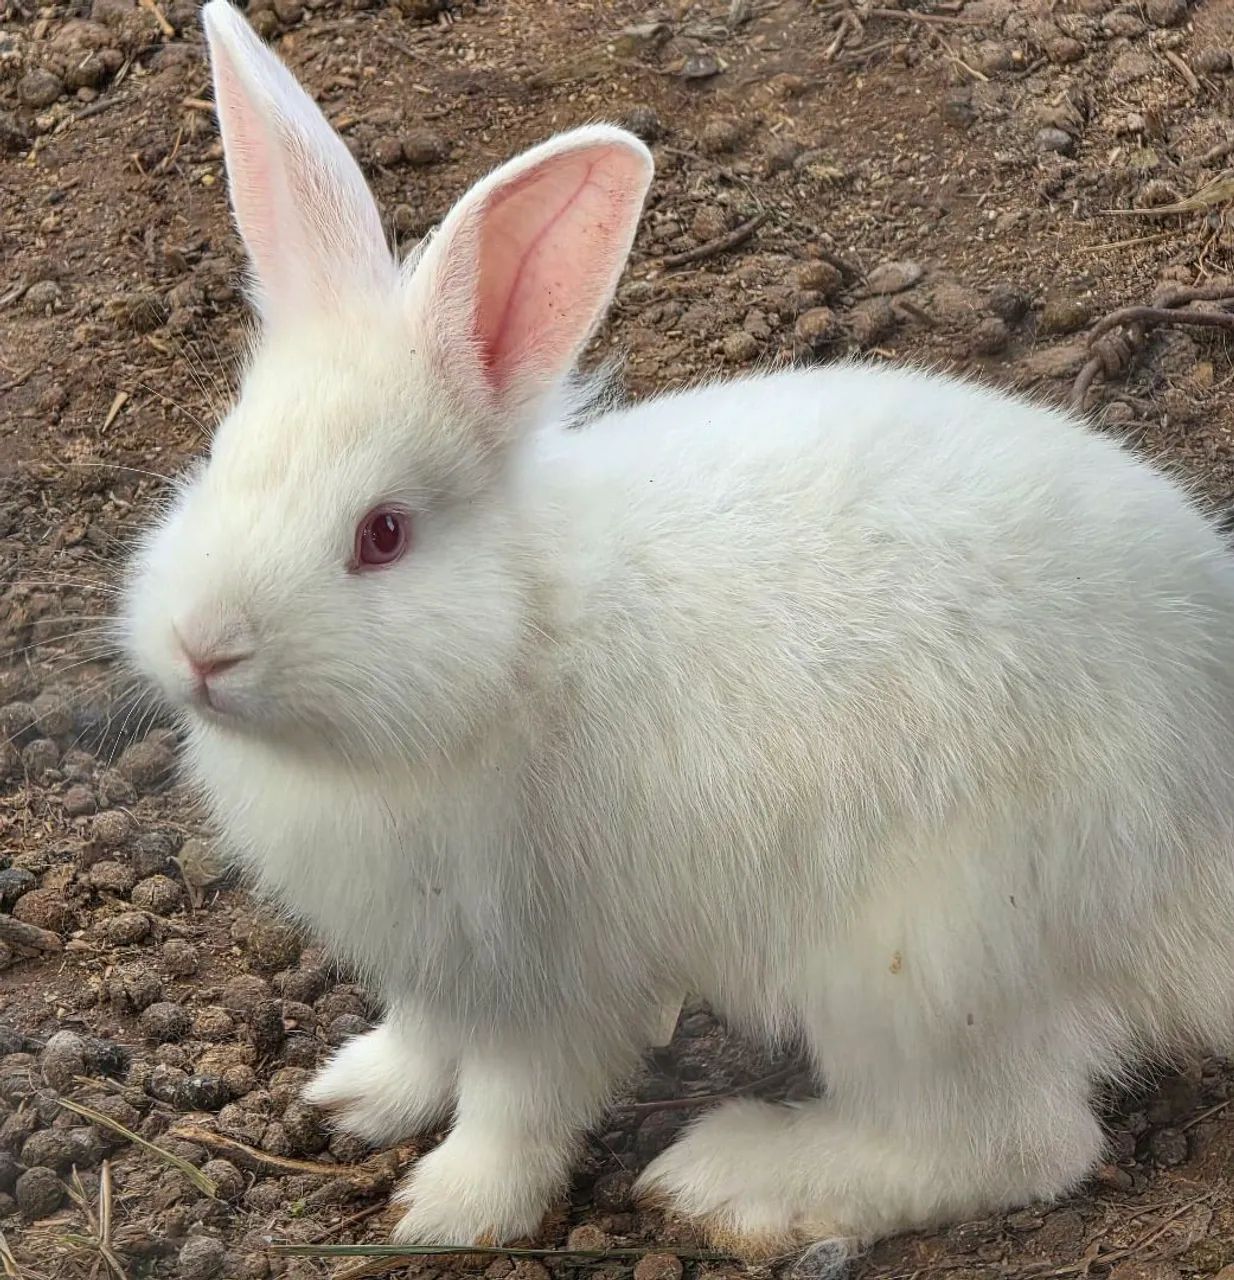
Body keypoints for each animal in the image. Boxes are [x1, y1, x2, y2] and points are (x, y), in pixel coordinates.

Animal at [120, 0, 1234, 1260]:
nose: (203, 646)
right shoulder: (438, 968)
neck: (518, 642)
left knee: (1018, 1139)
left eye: (382, 534)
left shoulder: (546, 976)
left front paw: (446, 1209)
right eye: (219, 457)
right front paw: (355, 1095)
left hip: (915, 963)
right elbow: (420, 1039)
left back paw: (734, 1180)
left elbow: (518, 1104)